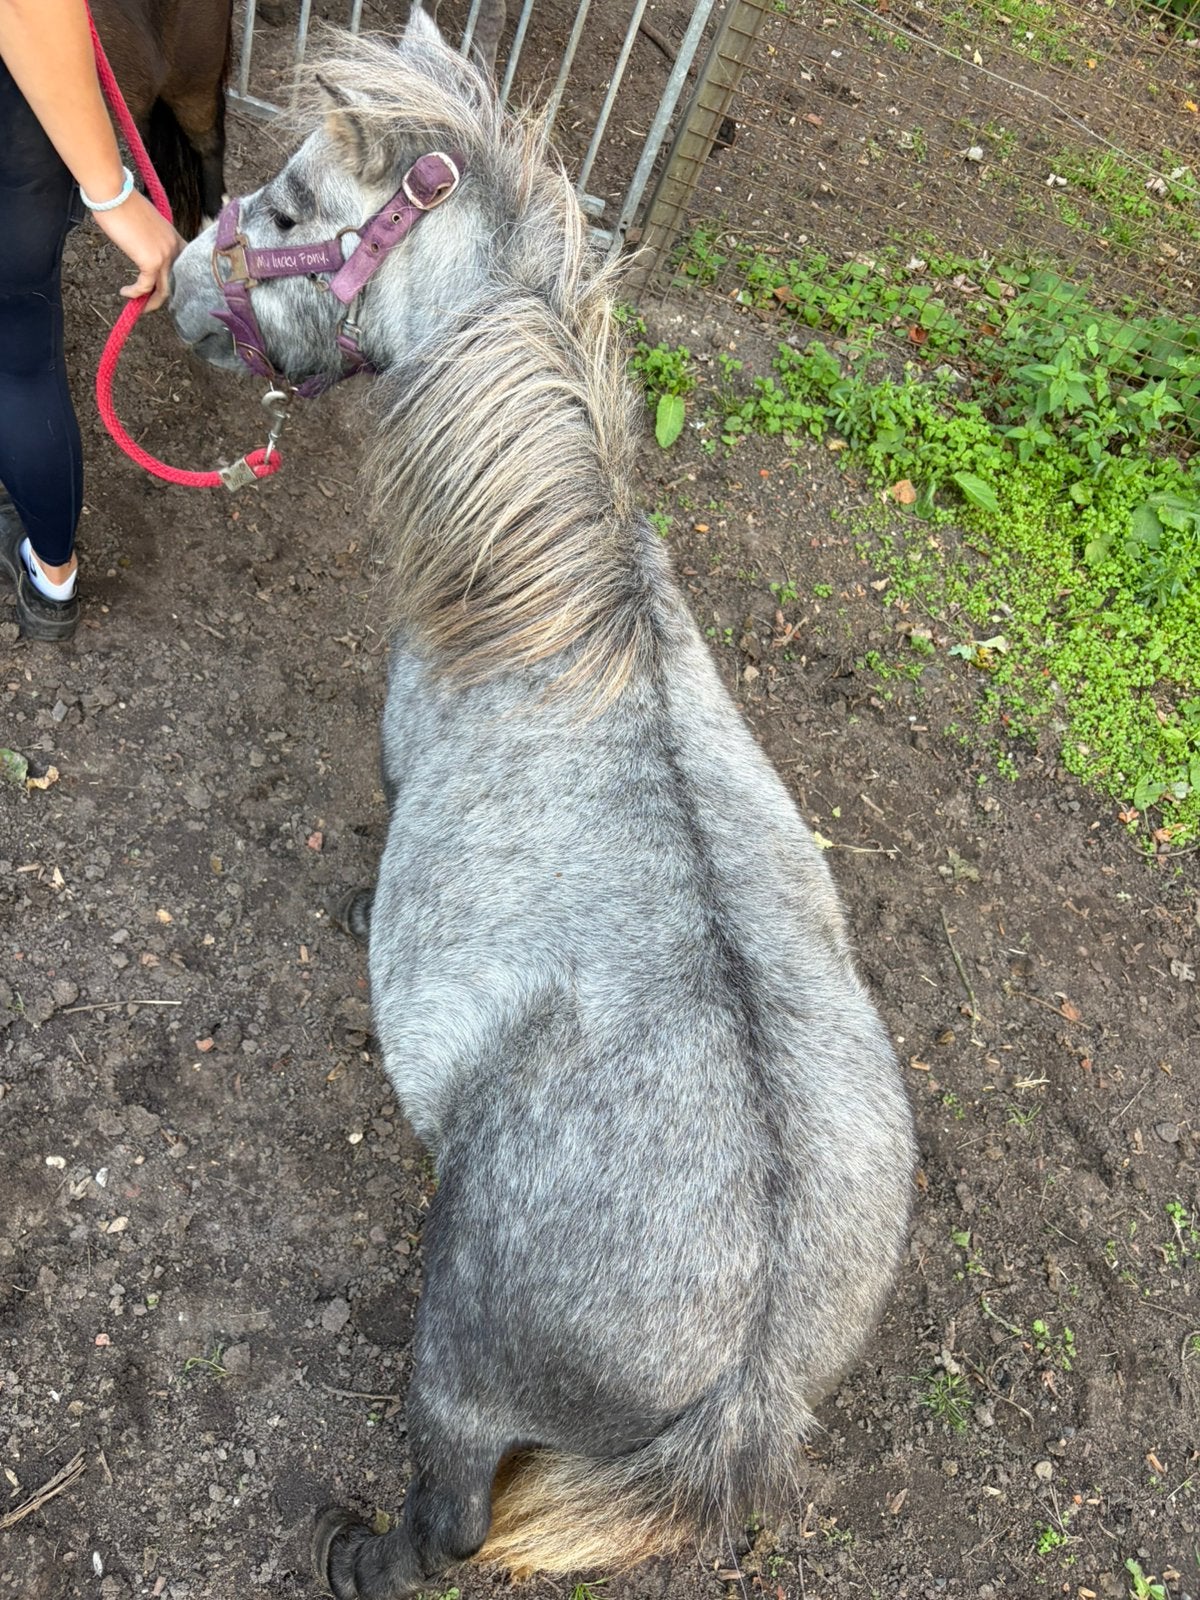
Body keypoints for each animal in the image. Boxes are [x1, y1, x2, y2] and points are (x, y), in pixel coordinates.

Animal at [169, 10, 916, 1597]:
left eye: (290, 209)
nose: (192, 280)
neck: (562, 609)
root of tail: (751, 1361)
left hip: (454, 1375)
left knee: (454, 1513)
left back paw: (363, 1553)